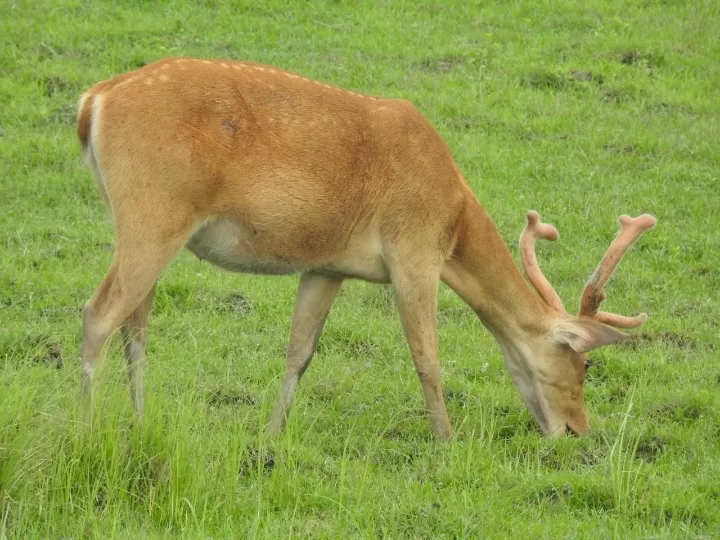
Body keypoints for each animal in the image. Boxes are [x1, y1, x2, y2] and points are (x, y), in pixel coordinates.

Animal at [76, 58, 656, 438]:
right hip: (153, 211)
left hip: (145, 221)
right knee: (100, 312)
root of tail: (91, 102)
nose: (577, 431)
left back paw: (139, 421)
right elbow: (427, 355)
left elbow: (300, 352)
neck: (453, 217)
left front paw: (270, 439)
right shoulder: (413, 250)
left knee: (135, 321)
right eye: (584, 363)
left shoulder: (328, 265)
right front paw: (446, 444)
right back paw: (83, 427)